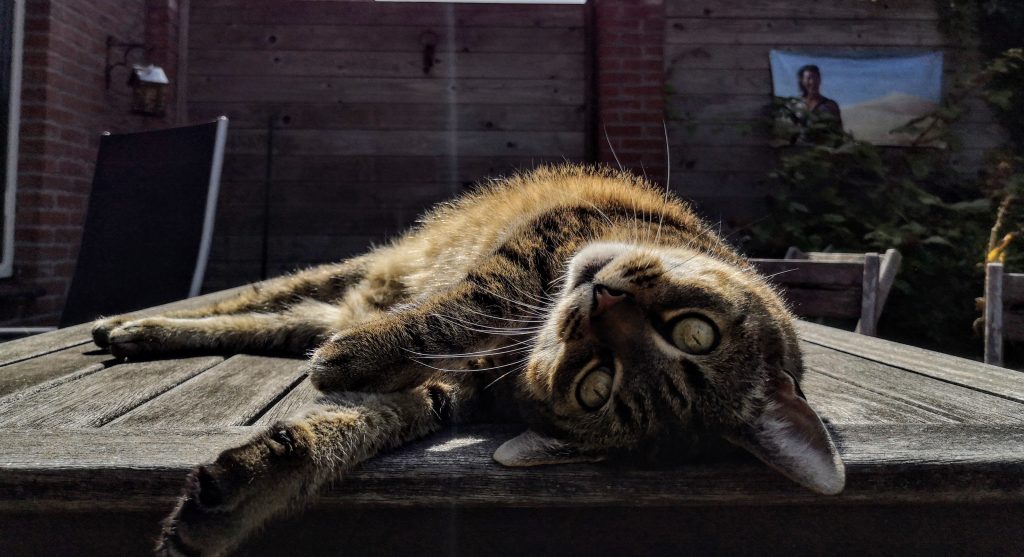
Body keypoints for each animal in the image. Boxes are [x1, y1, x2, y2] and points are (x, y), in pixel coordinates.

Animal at [92, 165, 843, 557]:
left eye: (595, 386)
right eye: (694, 333)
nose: (602, 300)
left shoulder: (451, 390)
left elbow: (356, 425)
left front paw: (239, 494)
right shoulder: (546, 241)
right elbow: (464, 303)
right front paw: (359, 355)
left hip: (327, 307)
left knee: (272, 323)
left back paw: (145, 333)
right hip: (369, 264)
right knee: (259, 294)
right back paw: (124, 323)